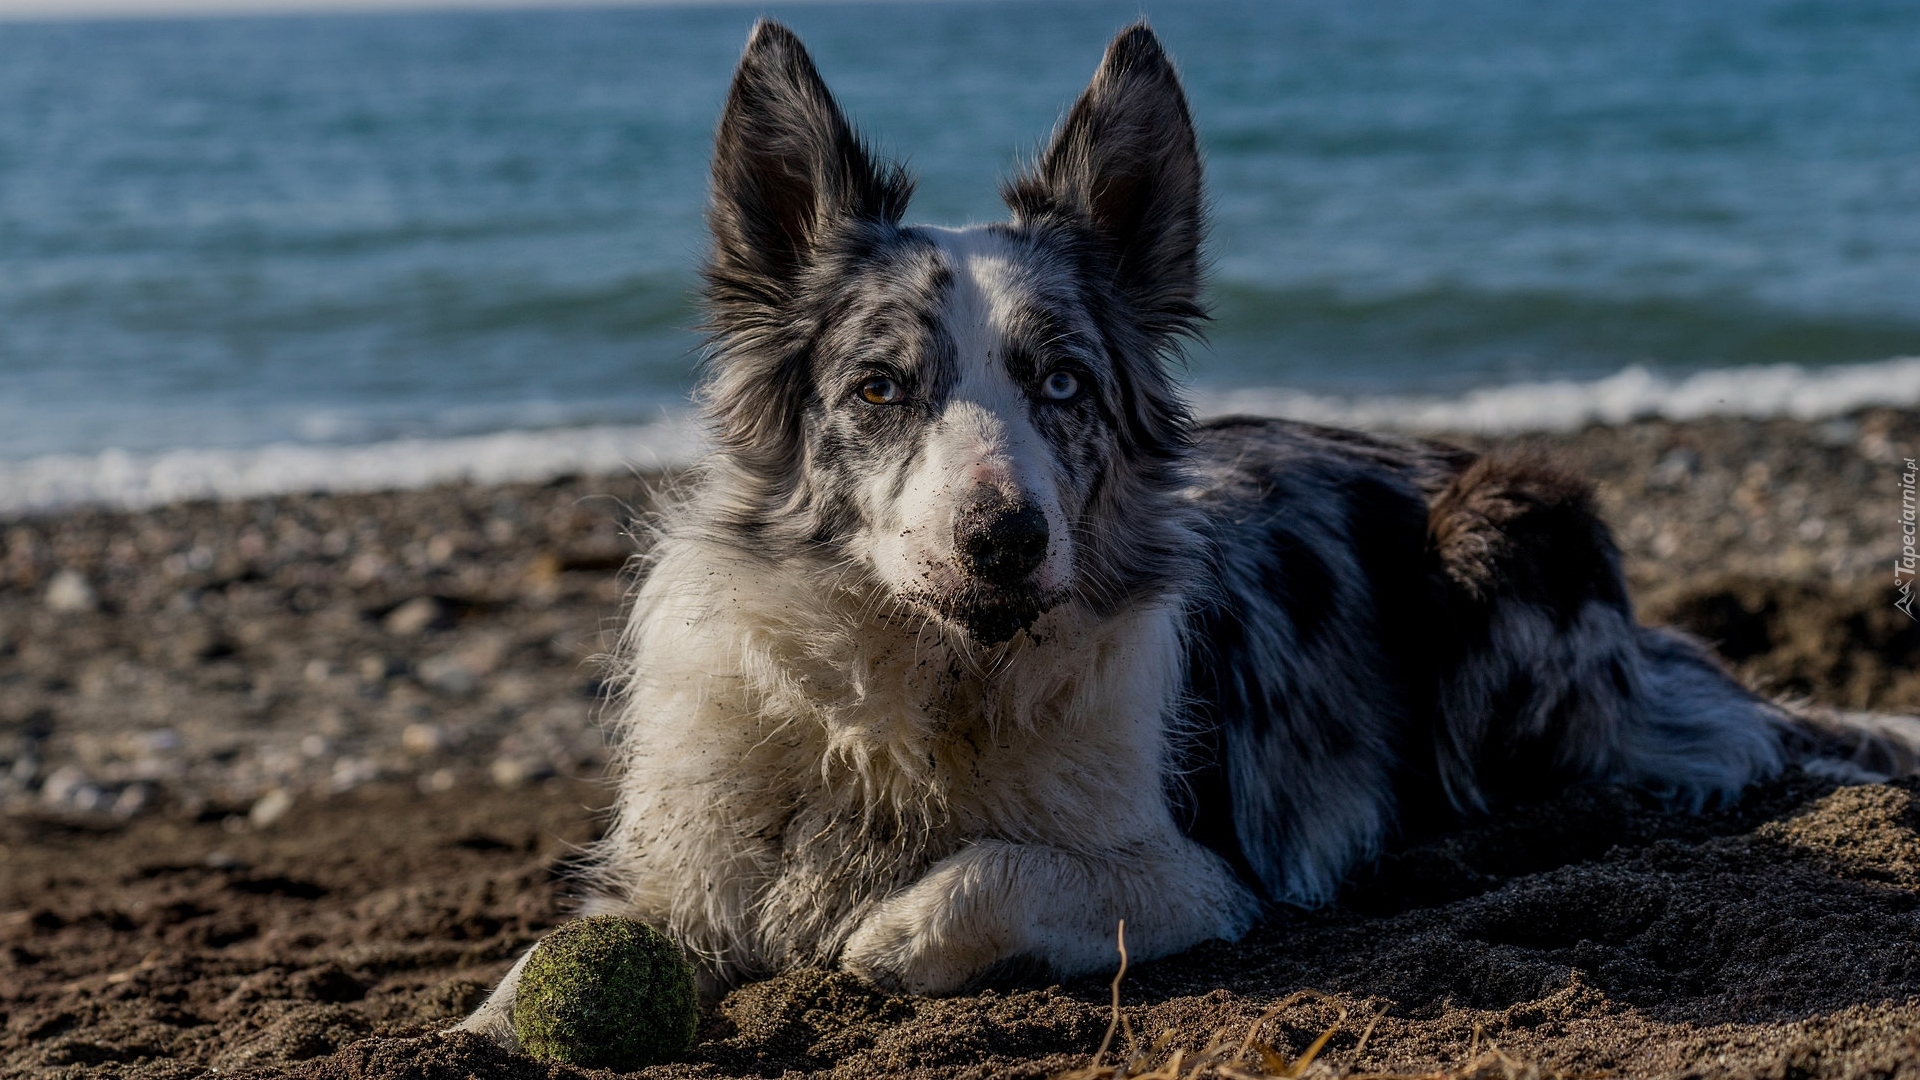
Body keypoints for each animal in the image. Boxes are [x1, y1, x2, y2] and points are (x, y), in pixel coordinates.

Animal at [456, 16, 1912, 1037]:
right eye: (879, 389)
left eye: (1063, 385)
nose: (1004, 541)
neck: (931, 691)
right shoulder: (686, 870)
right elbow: (540, 974)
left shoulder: (1204, 871)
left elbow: (1001, 871)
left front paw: (895, 931)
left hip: (1507, 533)